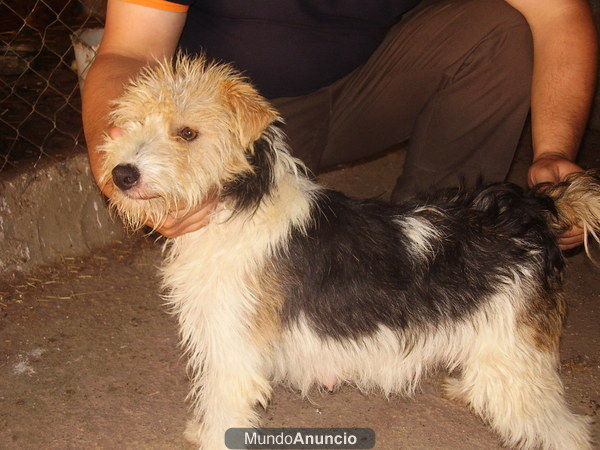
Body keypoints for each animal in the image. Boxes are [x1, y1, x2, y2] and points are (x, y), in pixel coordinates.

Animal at [101, 57, 596, 450]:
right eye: (133, 122)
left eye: (187, 132)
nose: (122, 174)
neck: (237, 204)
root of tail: (533, 207)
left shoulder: (234, 347)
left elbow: (226, 406)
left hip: (515, 357)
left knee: (567, 430)